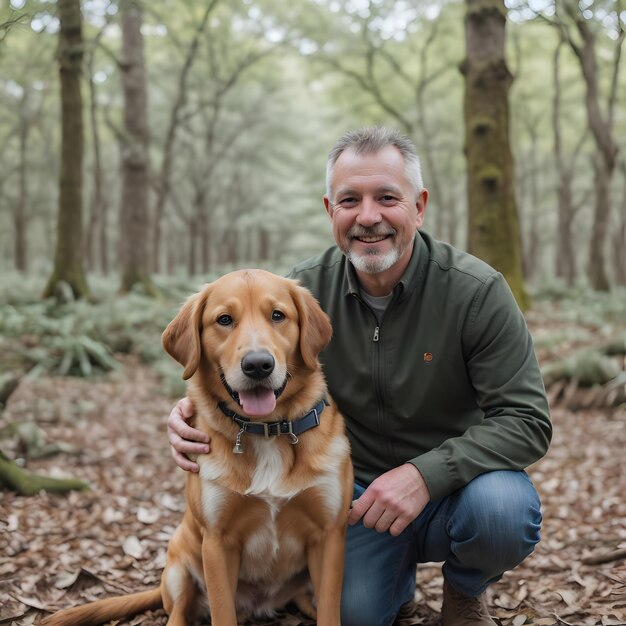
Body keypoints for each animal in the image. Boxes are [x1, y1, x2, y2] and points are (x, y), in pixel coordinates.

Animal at [44, 270, 354, 624]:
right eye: (224, 319)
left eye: (278, 315)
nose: (258, 365)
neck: (267, 430)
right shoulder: (217, 543)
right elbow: (222, 612)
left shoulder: (329, 537)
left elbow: (329, 611)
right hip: (178, 568)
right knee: (178, 612)